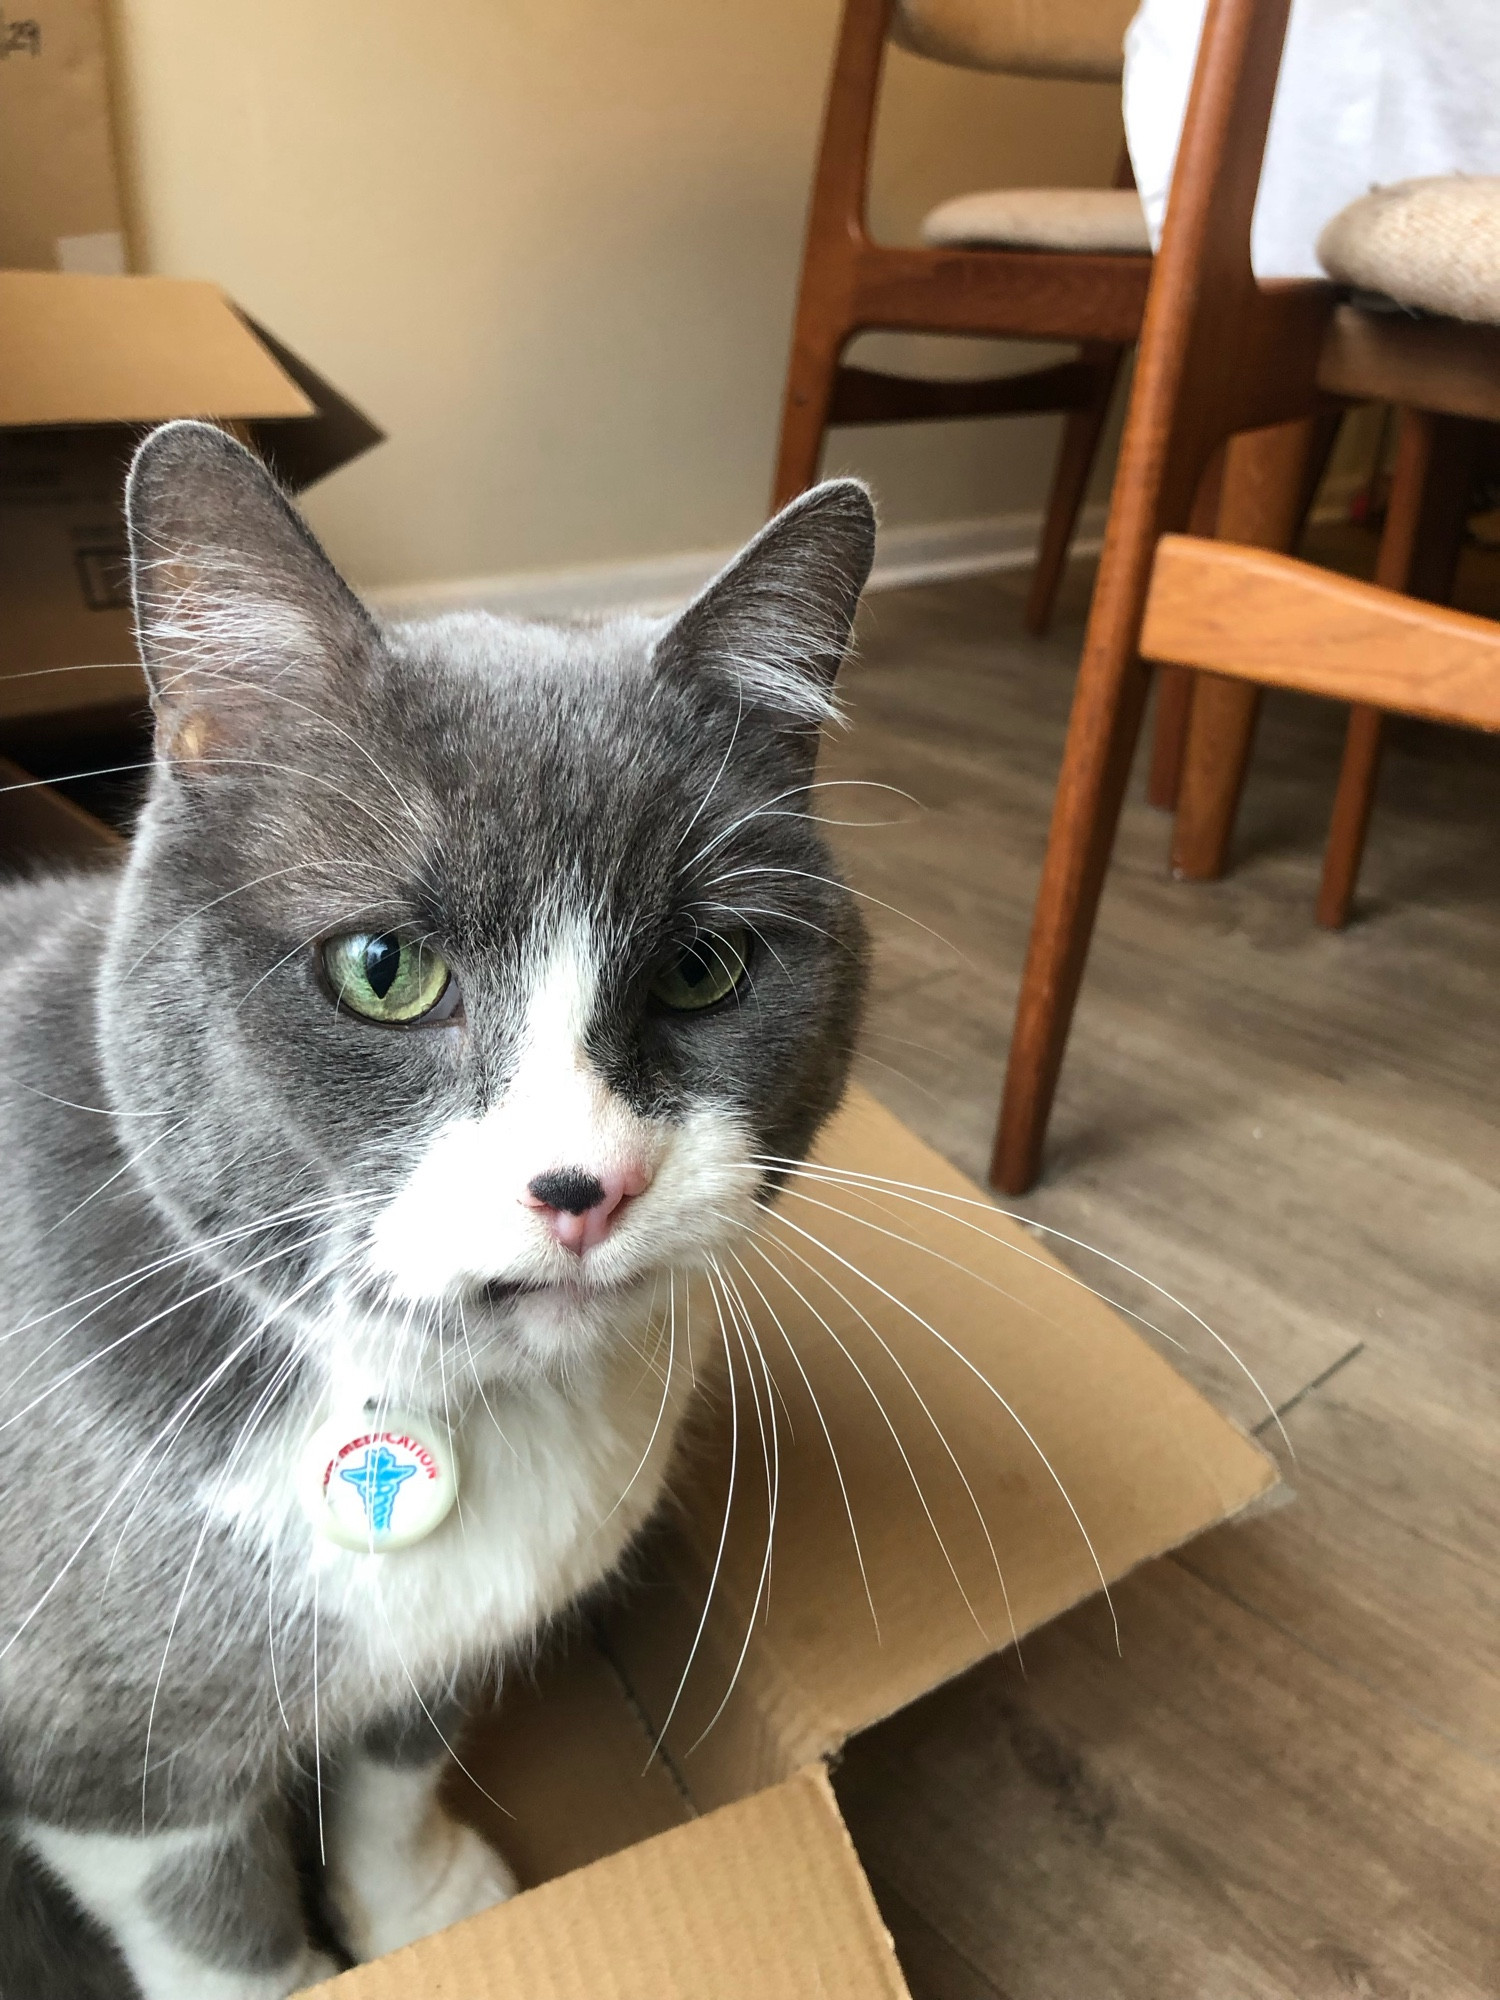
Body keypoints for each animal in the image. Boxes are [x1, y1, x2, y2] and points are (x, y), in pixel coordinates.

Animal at [0, 426, 876, 2000]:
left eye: (706, 967)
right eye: (383, 969)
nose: (587, 1184)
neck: (460, 1402)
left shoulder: (442, 1653)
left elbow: (399, 1758)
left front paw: (425, 1906)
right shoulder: (110, 1763)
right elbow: (218, 1929)